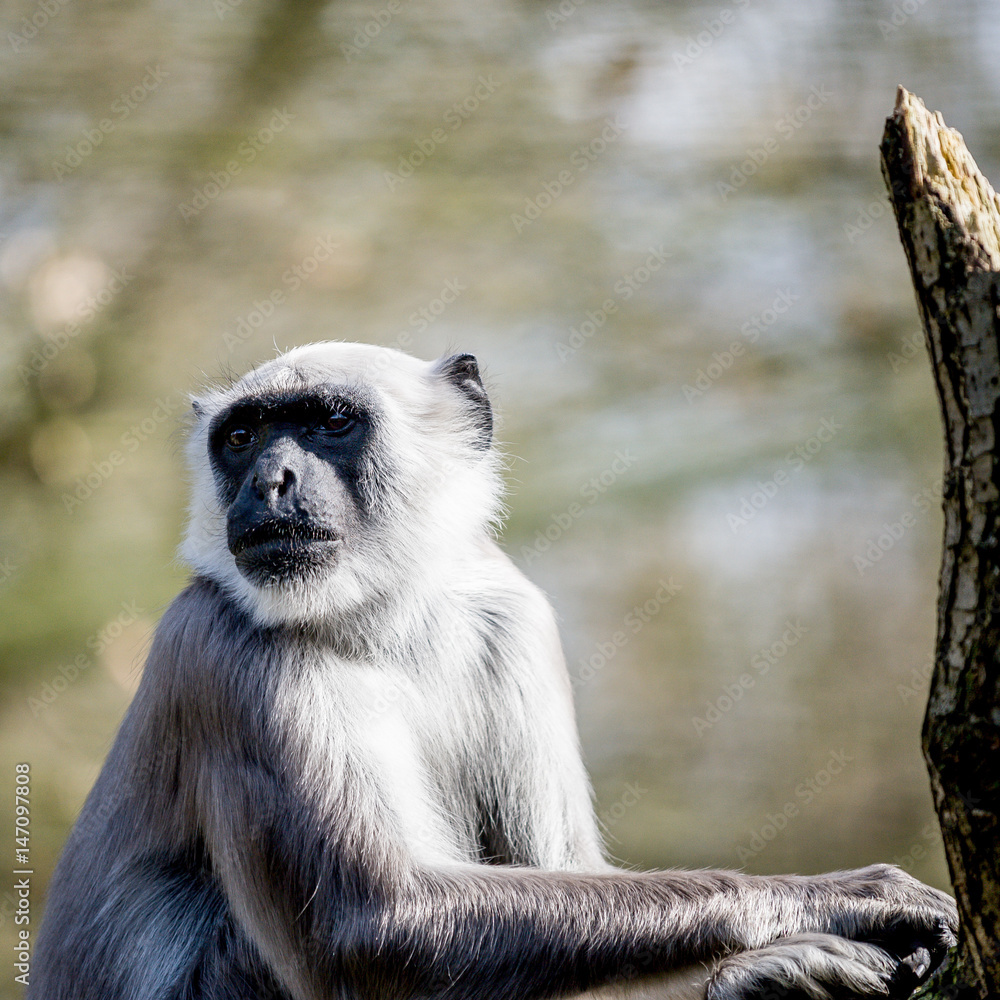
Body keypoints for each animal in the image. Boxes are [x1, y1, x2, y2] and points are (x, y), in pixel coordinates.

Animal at [30, 341, 957, 1000]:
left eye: (330, 421)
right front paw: (837, 899)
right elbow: (370, 929)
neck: (381, 623)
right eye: (241, 436)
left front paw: (768, 972)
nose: (270, 480)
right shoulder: (220, 648)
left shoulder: (513, 618)